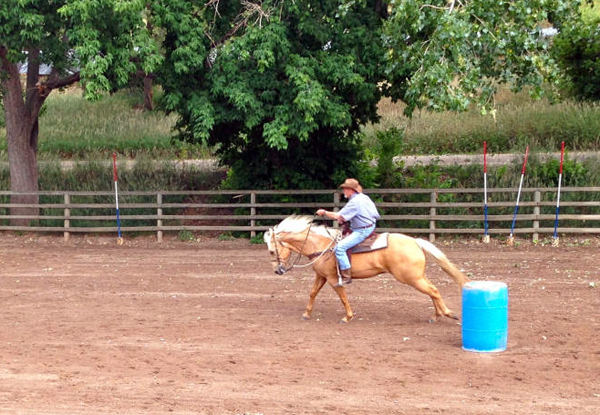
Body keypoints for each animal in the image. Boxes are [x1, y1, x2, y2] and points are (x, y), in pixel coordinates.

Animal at [264, 216, 472, 324]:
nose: (277, 271)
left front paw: (348, 316)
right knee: (433, 290)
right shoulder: (321, 276)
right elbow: (313, 292)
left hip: (411, 278)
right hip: (418, 276)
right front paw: (307, 314)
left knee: (434, 291)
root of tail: (415, 241)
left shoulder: (333, 278)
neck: (321, 245)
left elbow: (342, 296)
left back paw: (446, 313)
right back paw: (436, 315)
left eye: (272, 250)